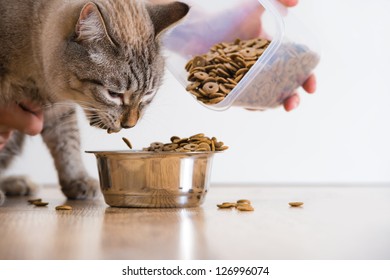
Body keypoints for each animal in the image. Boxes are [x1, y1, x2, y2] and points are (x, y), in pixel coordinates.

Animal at [0, 0, 189, 206]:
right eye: (114, 94)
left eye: (148, 94)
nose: (129, 125)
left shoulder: (60, 109)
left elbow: (68, 144)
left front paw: (78, 180)